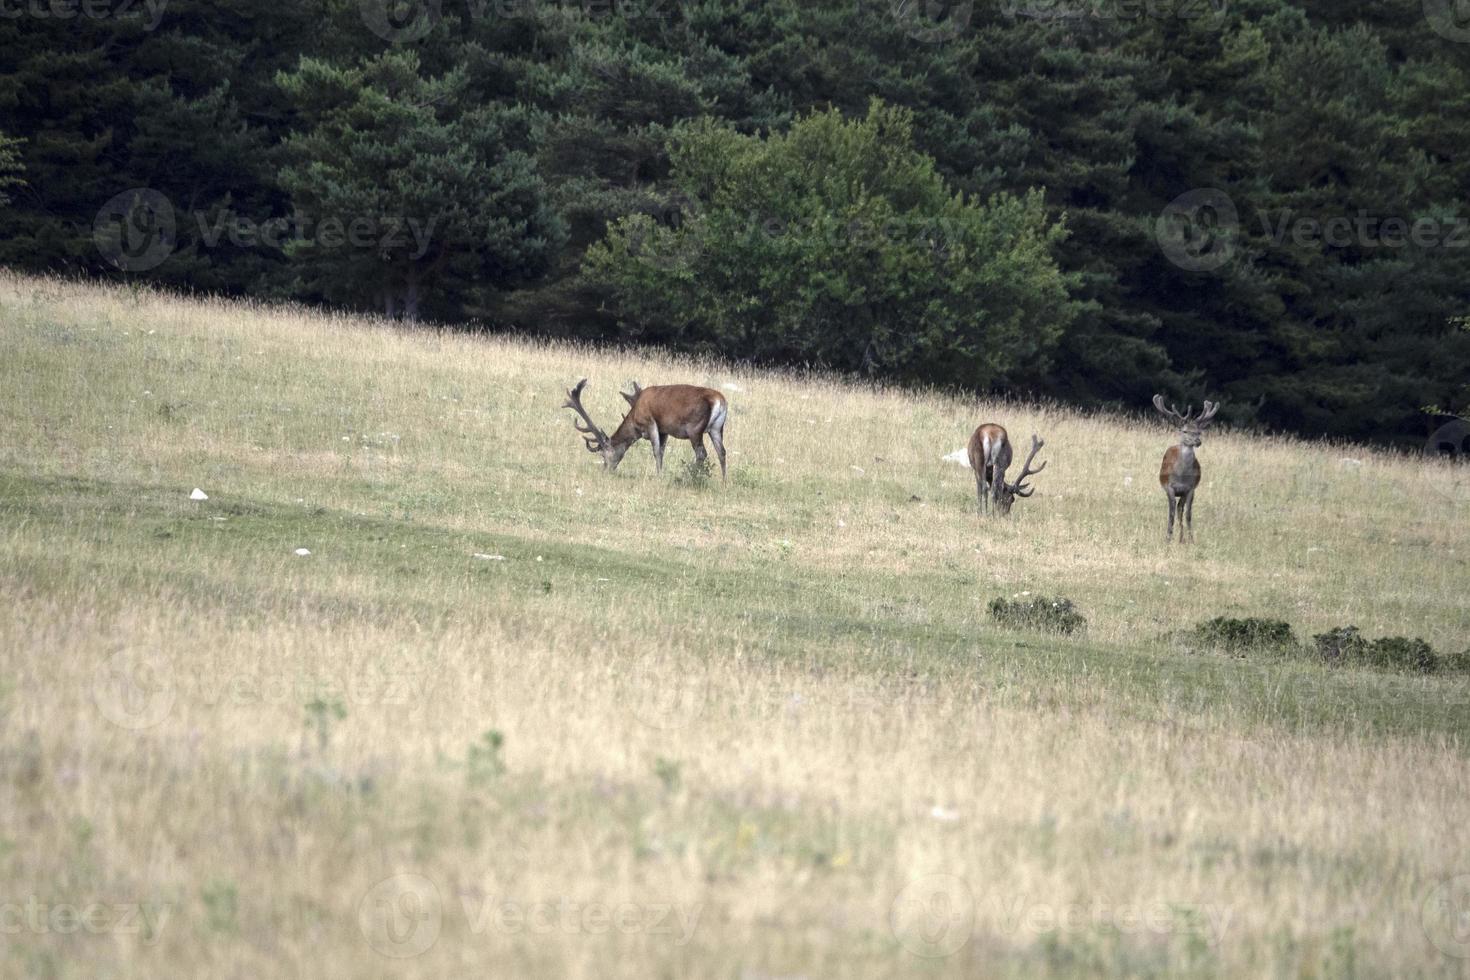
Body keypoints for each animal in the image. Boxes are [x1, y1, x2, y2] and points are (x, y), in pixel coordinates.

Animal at [561, 379, 729, 481]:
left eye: (603, 454)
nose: (605, 470)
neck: (635, 419)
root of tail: (719, 401)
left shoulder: (650, 423)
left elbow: (656, 451)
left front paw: (659, 476)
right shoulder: (664, 430)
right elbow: (662, 451)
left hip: (694, 428)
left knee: (702, 453)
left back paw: (690, 477)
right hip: (717, 428)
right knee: (721, 451)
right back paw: (723, 481)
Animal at [1152, 393, 1223, 543]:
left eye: (1199, 432)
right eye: (1185, 431)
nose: (1198, 441)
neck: (1181, 477)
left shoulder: (1190, 489)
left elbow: (1188, 514)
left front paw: (1191, 539)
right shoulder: (1169, 487)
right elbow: (1171, 513)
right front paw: (1168, 538)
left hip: (1185, 493)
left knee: (1181, 509)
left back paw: (1181, 538)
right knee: (1176, 509)